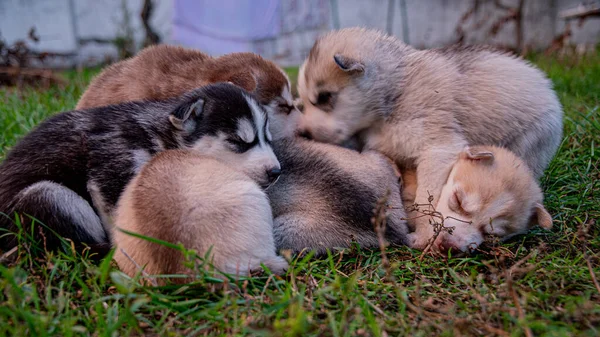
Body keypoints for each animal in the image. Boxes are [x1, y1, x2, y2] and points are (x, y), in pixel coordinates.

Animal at [0, 83, 280, 252]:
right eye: (239, 142)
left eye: (268, 138)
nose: (276, 172)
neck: (158, 136)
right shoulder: (111, 169)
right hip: (48, 196)